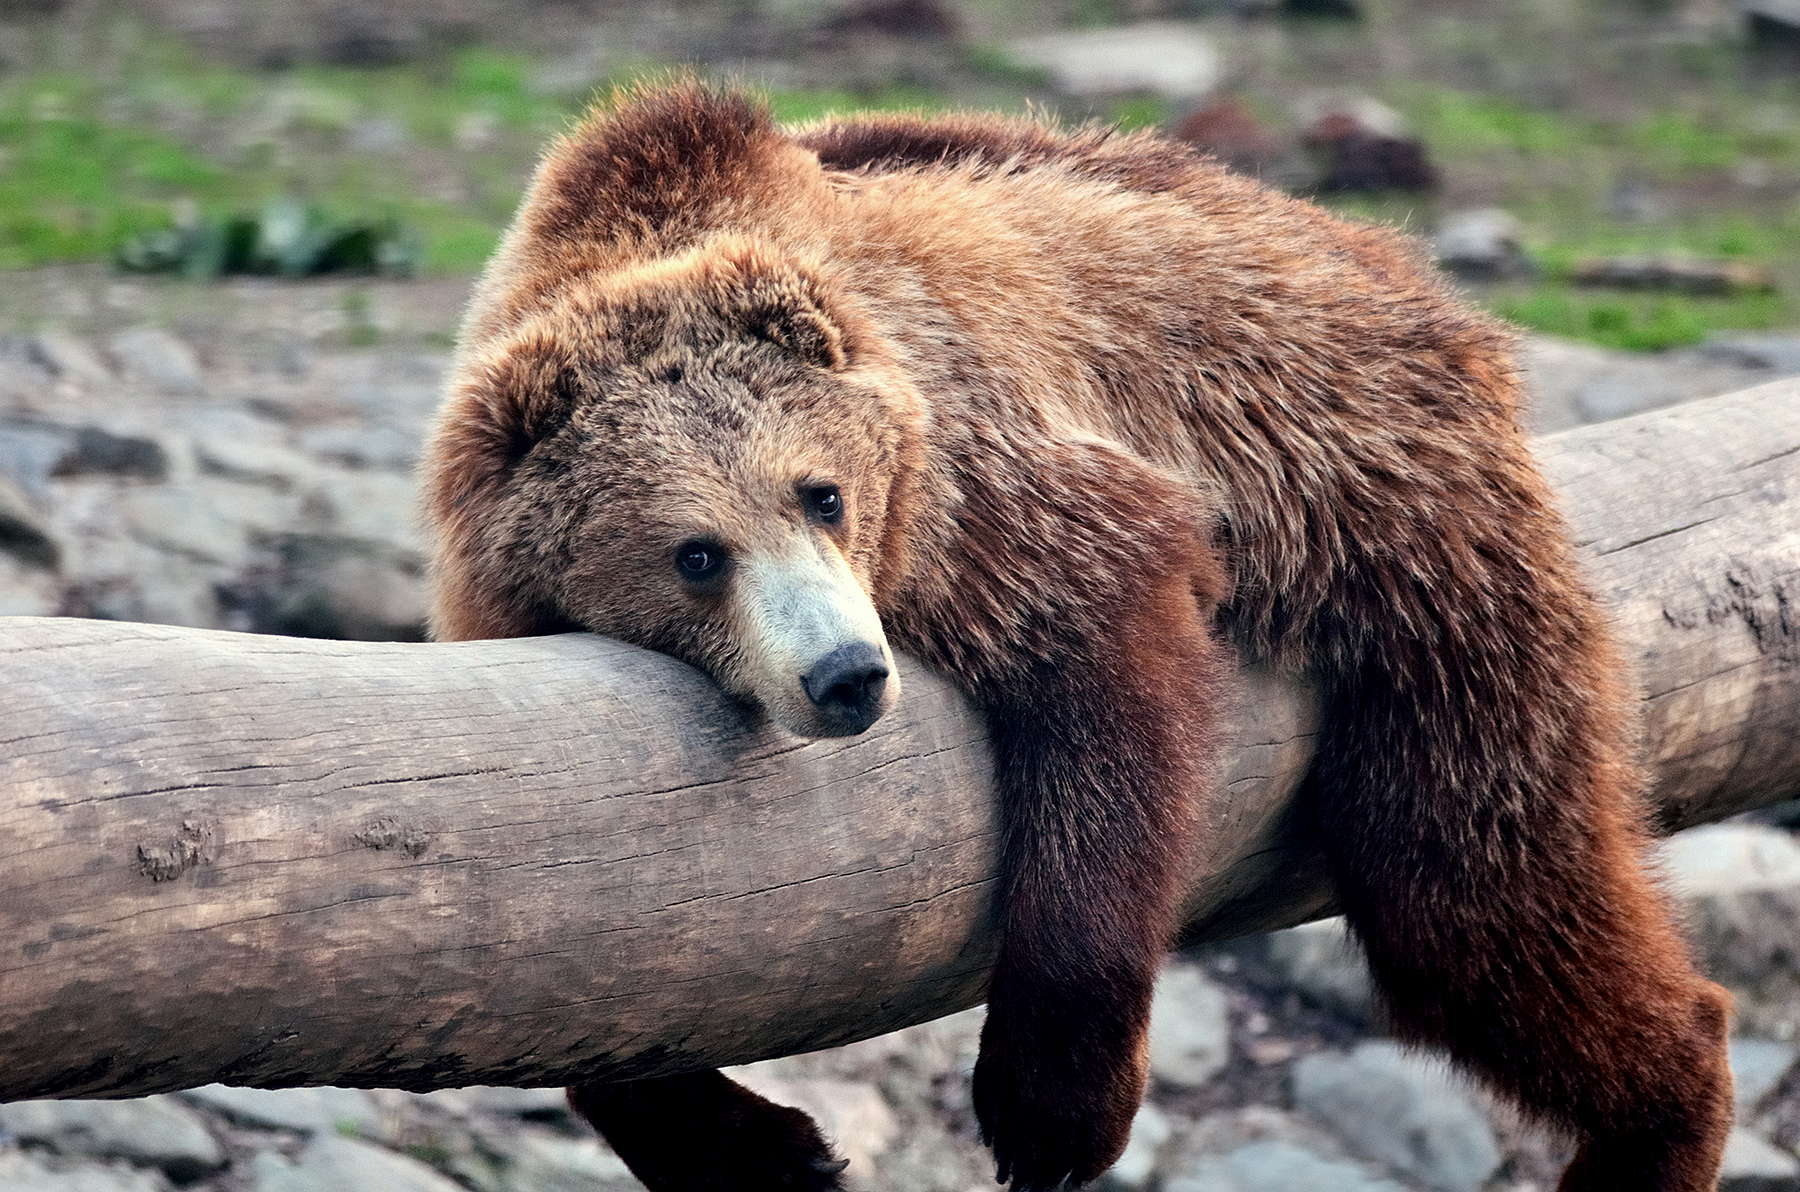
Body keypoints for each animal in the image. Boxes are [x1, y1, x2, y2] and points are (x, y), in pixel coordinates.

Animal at [422, 80, 1734, 1192]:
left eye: (821, 492)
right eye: (696, 552)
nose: (847, 675)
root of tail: (1394, 266)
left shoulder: (986, 484)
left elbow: (1106, 688)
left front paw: (1050, 1112)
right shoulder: (497, 627)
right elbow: (587, 985)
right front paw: (768, 1149)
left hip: (1396, 508)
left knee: (1472, 876)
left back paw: (1661, 1106)